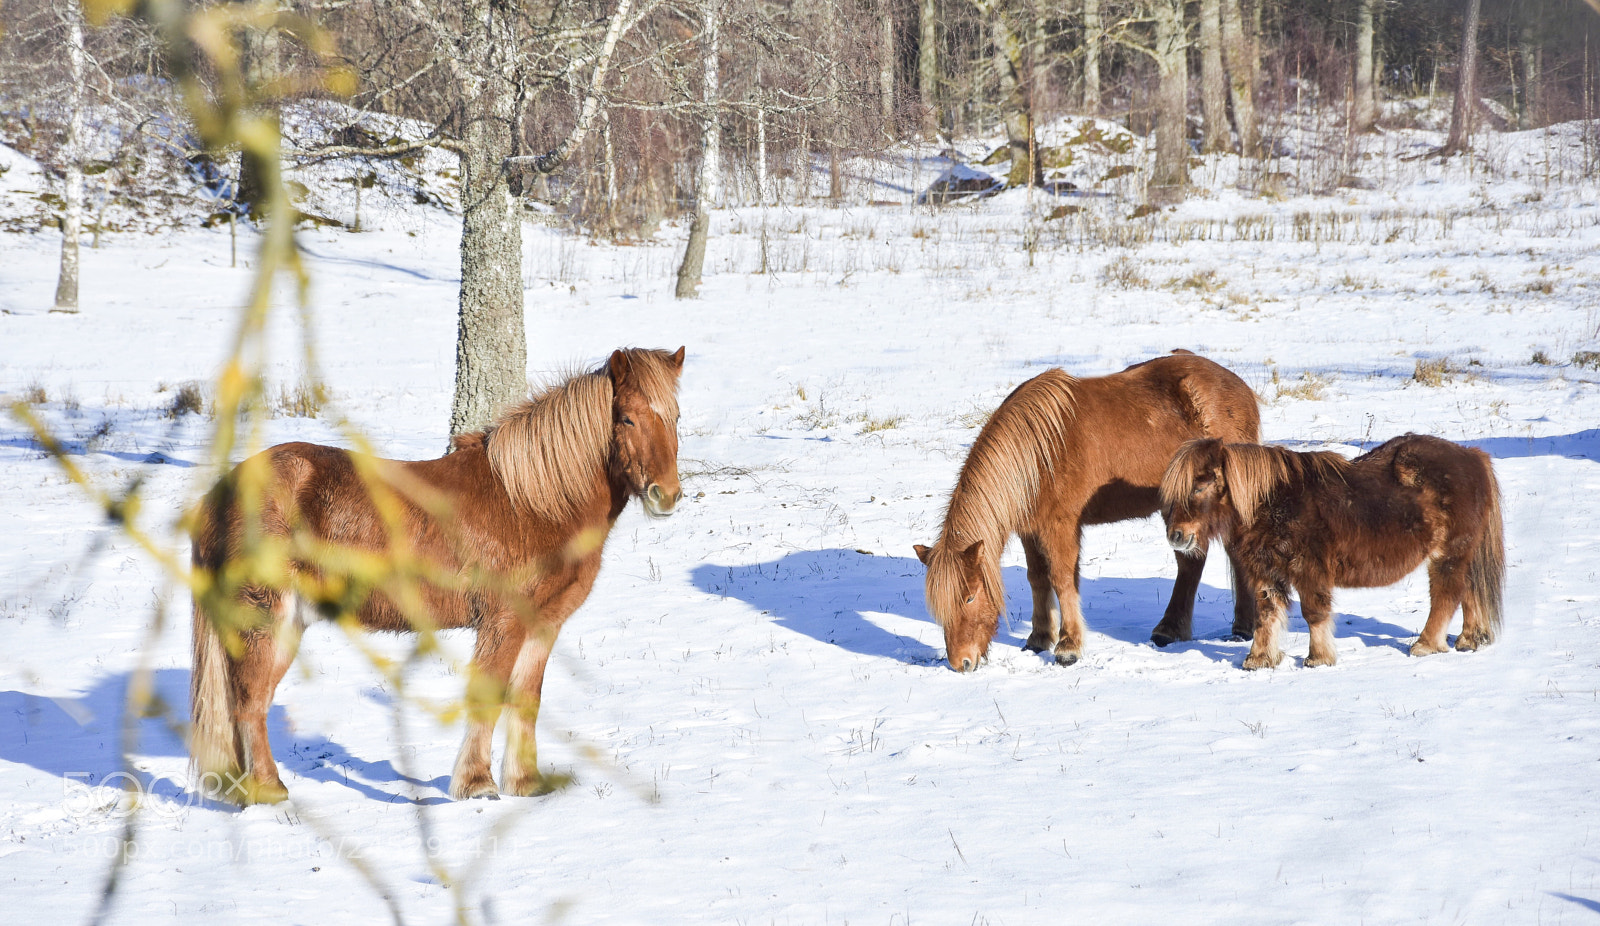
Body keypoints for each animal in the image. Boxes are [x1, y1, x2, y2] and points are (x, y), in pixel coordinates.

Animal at [189, 347, 685, 804]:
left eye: (675, 416)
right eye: (626, 419)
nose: (666, 495)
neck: (531, 502)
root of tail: (222, 493)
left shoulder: (544, 624)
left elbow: (526, 700)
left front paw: (525, 784)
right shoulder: (503, 623)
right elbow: (488, 696)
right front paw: (477, 784)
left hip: (288, 623)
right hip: (264, 620)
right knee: (249, 701)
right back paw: (269, 792)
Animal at [913, 351, 1261, 672]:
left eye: (970, 597)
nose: (961, 663)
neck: (1038, 456)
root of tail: (1240, 388)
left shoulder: (1060, 526)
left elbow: (1062, 580)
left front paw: (1068, 647)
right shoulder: (1029, 530)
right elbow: (1037, 579)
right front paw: (1039, 638)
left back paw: (1238, 629)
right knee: (1193, 562)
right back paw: (1177, 630)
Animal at [1159, 434, 1504, 670]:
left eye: (1200, 486)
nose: (1176, 536)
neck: (1274, 502)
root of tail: (1473, 456)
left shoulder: (1309, 570)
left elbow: (1314, 613)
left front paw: (1318, 659)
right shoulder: (1266, 573)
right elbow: (1266, 615)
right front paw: (1258, 660)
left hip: (1448, 554)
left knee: (1447, 596)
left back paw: (1426, 645)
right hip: (1461, 554)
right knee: (1469, 591)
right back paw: (1470, 640)